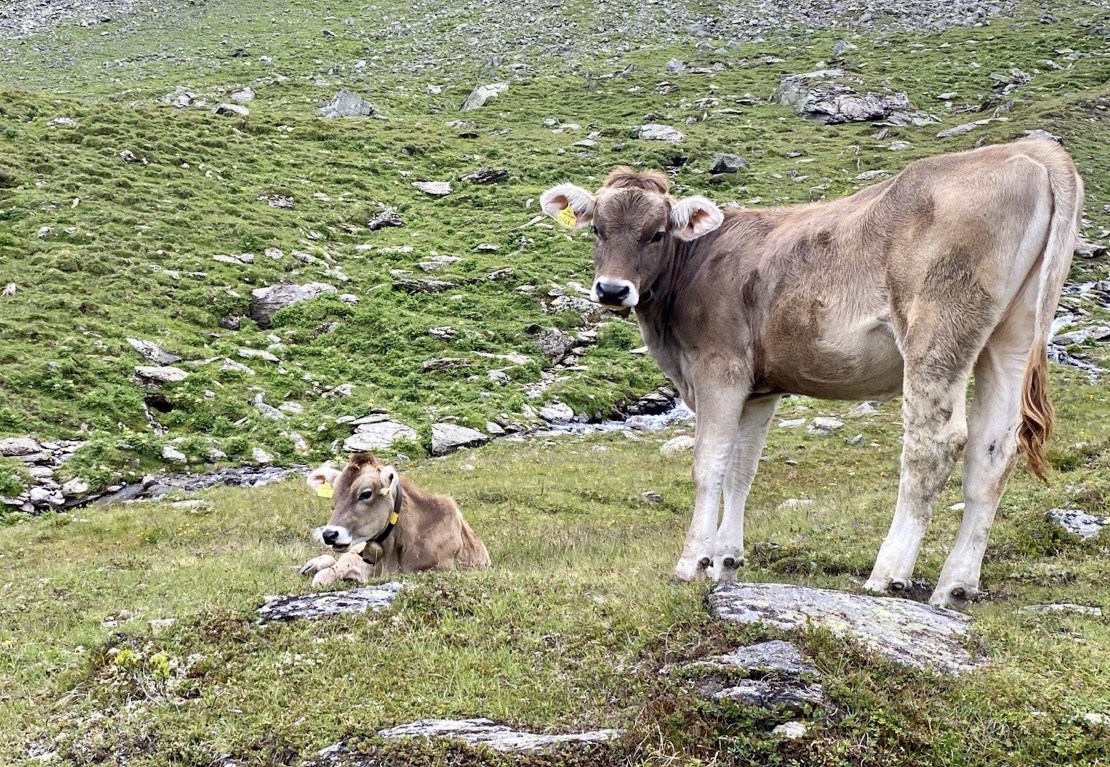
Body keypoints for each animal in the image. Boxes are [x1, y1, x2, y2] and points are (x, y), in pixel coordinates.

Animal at [541, 136, 1078, 608]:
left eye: (655, 233)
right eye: (597, 229)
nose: (612, 290)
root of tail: (1029, 150)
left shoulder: (720, 369)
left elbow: (708, 466)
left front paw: (691, 562)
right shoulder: (760, 389)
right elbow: (742, 469)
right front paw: (725, 561)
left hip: (937, 327)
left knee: (934, 443)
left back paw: (888, 574)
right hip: (1009, 337)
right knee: (993, 451)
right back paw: (956, 585)